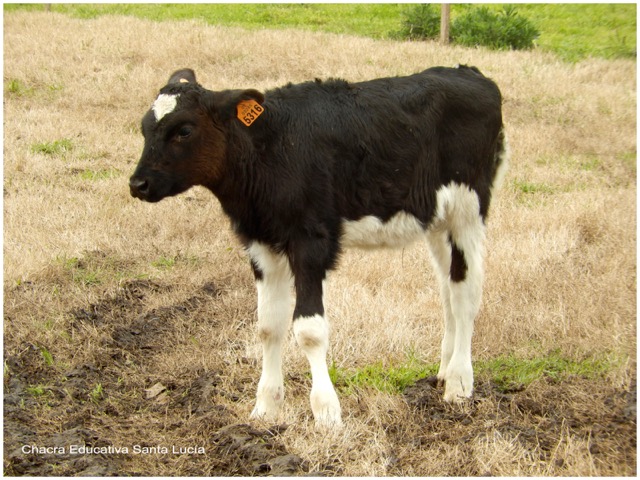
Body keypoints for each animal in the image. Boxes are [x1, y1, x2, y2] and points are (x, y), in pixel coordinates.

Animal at [131, 64, 510, 428]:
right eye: (144, 128)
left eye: (183, 130)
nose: (138, 184)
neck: (271, 150)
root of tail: (469, 72)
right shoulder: (261, 244)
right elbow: (268, 325)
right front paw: (266, 407)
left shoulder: (311, 243)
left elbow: (309, 330)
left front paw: (326, 412)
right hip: (437, 220)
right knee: (448, 289)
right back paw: (444, 371)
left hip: (468, 208)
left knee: (466, 294)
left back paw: (459, 384)